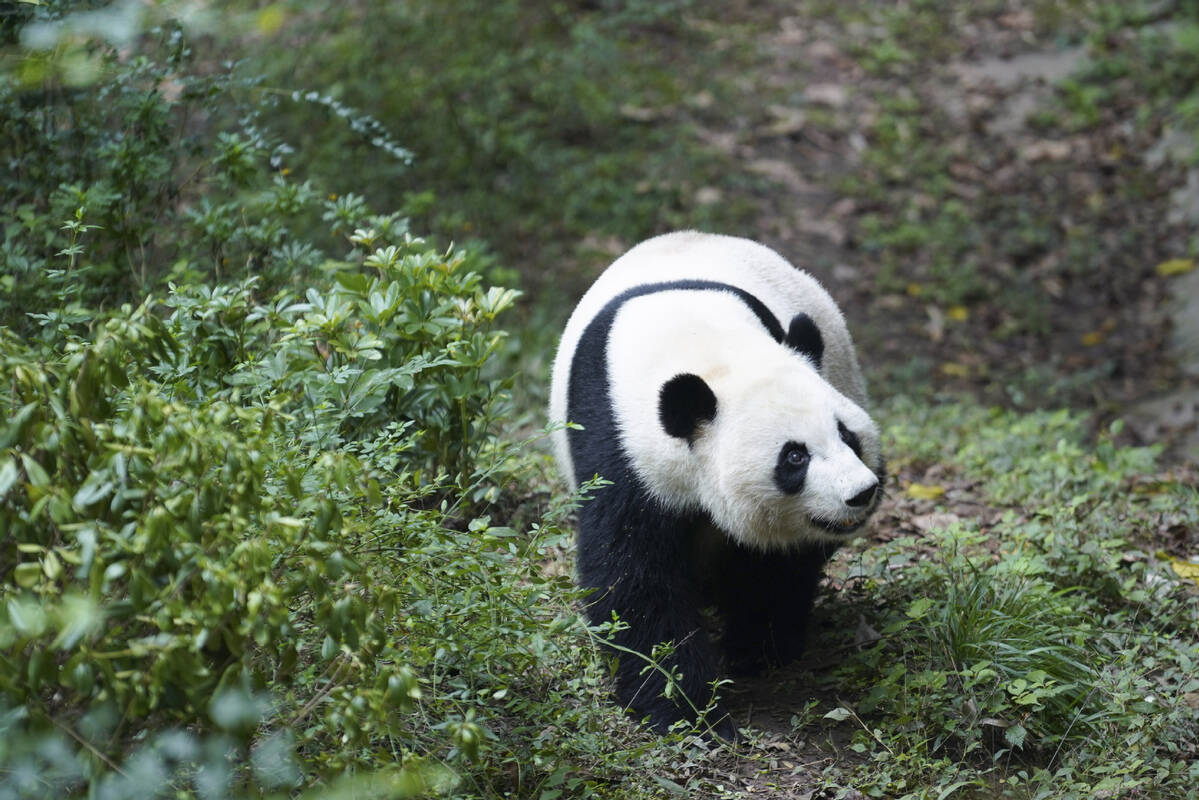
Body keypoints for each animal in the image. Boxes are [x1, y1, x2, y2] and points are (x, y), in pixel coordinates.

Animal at [549, 230, 887, 738]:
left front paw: (756, 648)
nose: (861, 493)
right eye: (794, 457)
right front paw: (682, 708)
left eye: (847, 436)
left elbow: (771, 565)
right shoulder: (617, 442)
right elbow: (634, 576)